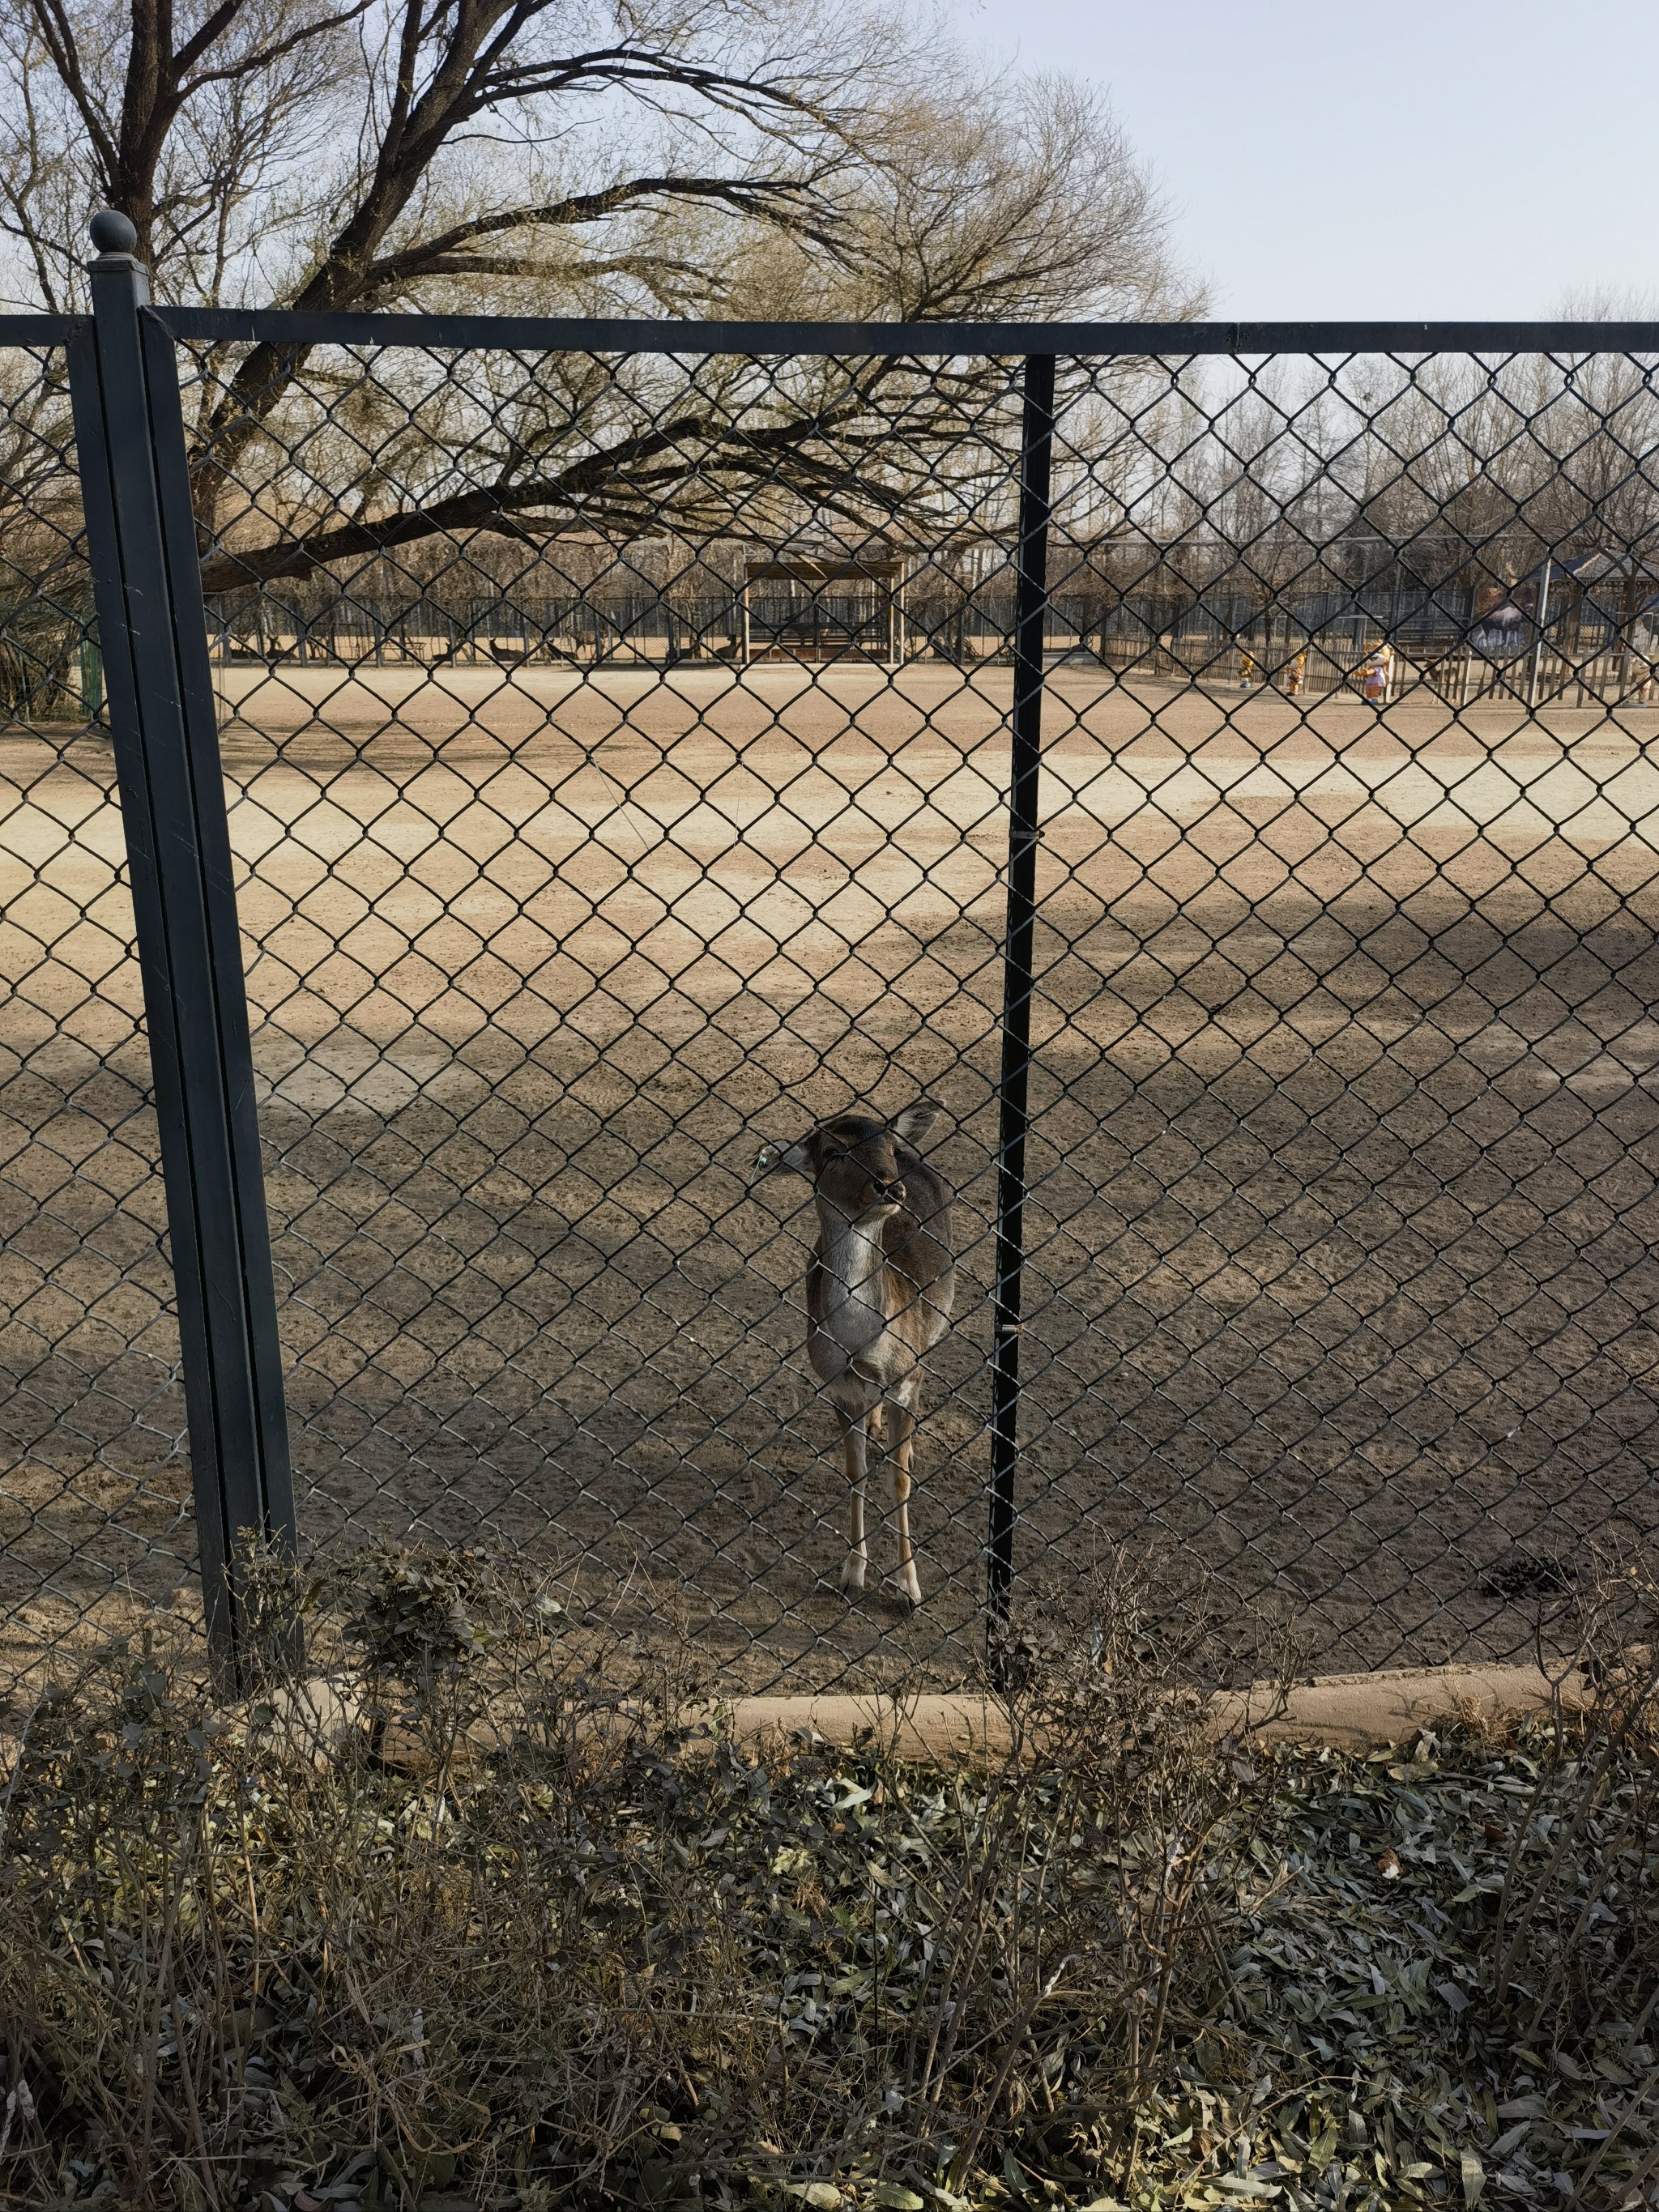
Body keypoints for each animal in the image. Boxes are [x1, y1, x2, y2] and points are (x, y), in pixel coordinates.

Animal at [756, 1106, 960, 1610]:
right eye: (832, 1151)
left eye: (889, 1146)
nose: (889, 1187)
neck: (862, 1346)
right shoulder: (838, 1386)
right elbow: (856, 1474)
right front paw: (852, 1575)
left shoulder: (907, 1377)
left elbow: (899, 1480)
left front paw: (910, 1589)